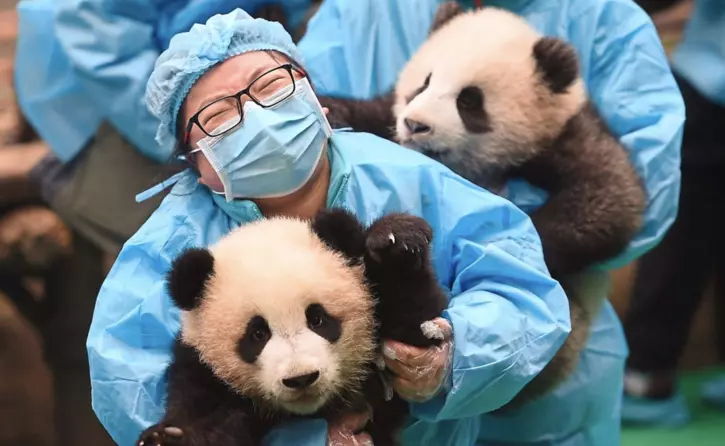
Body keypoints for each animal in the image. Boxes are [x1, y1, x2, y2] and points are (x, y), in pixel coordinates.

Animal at [136, 209, 448, 446]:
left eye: (318, 319)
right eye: (257, 334)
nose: (301, 378)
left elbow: (416, 323)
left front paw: (396, 240)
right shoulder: (201, 371)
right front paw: (166, 440)